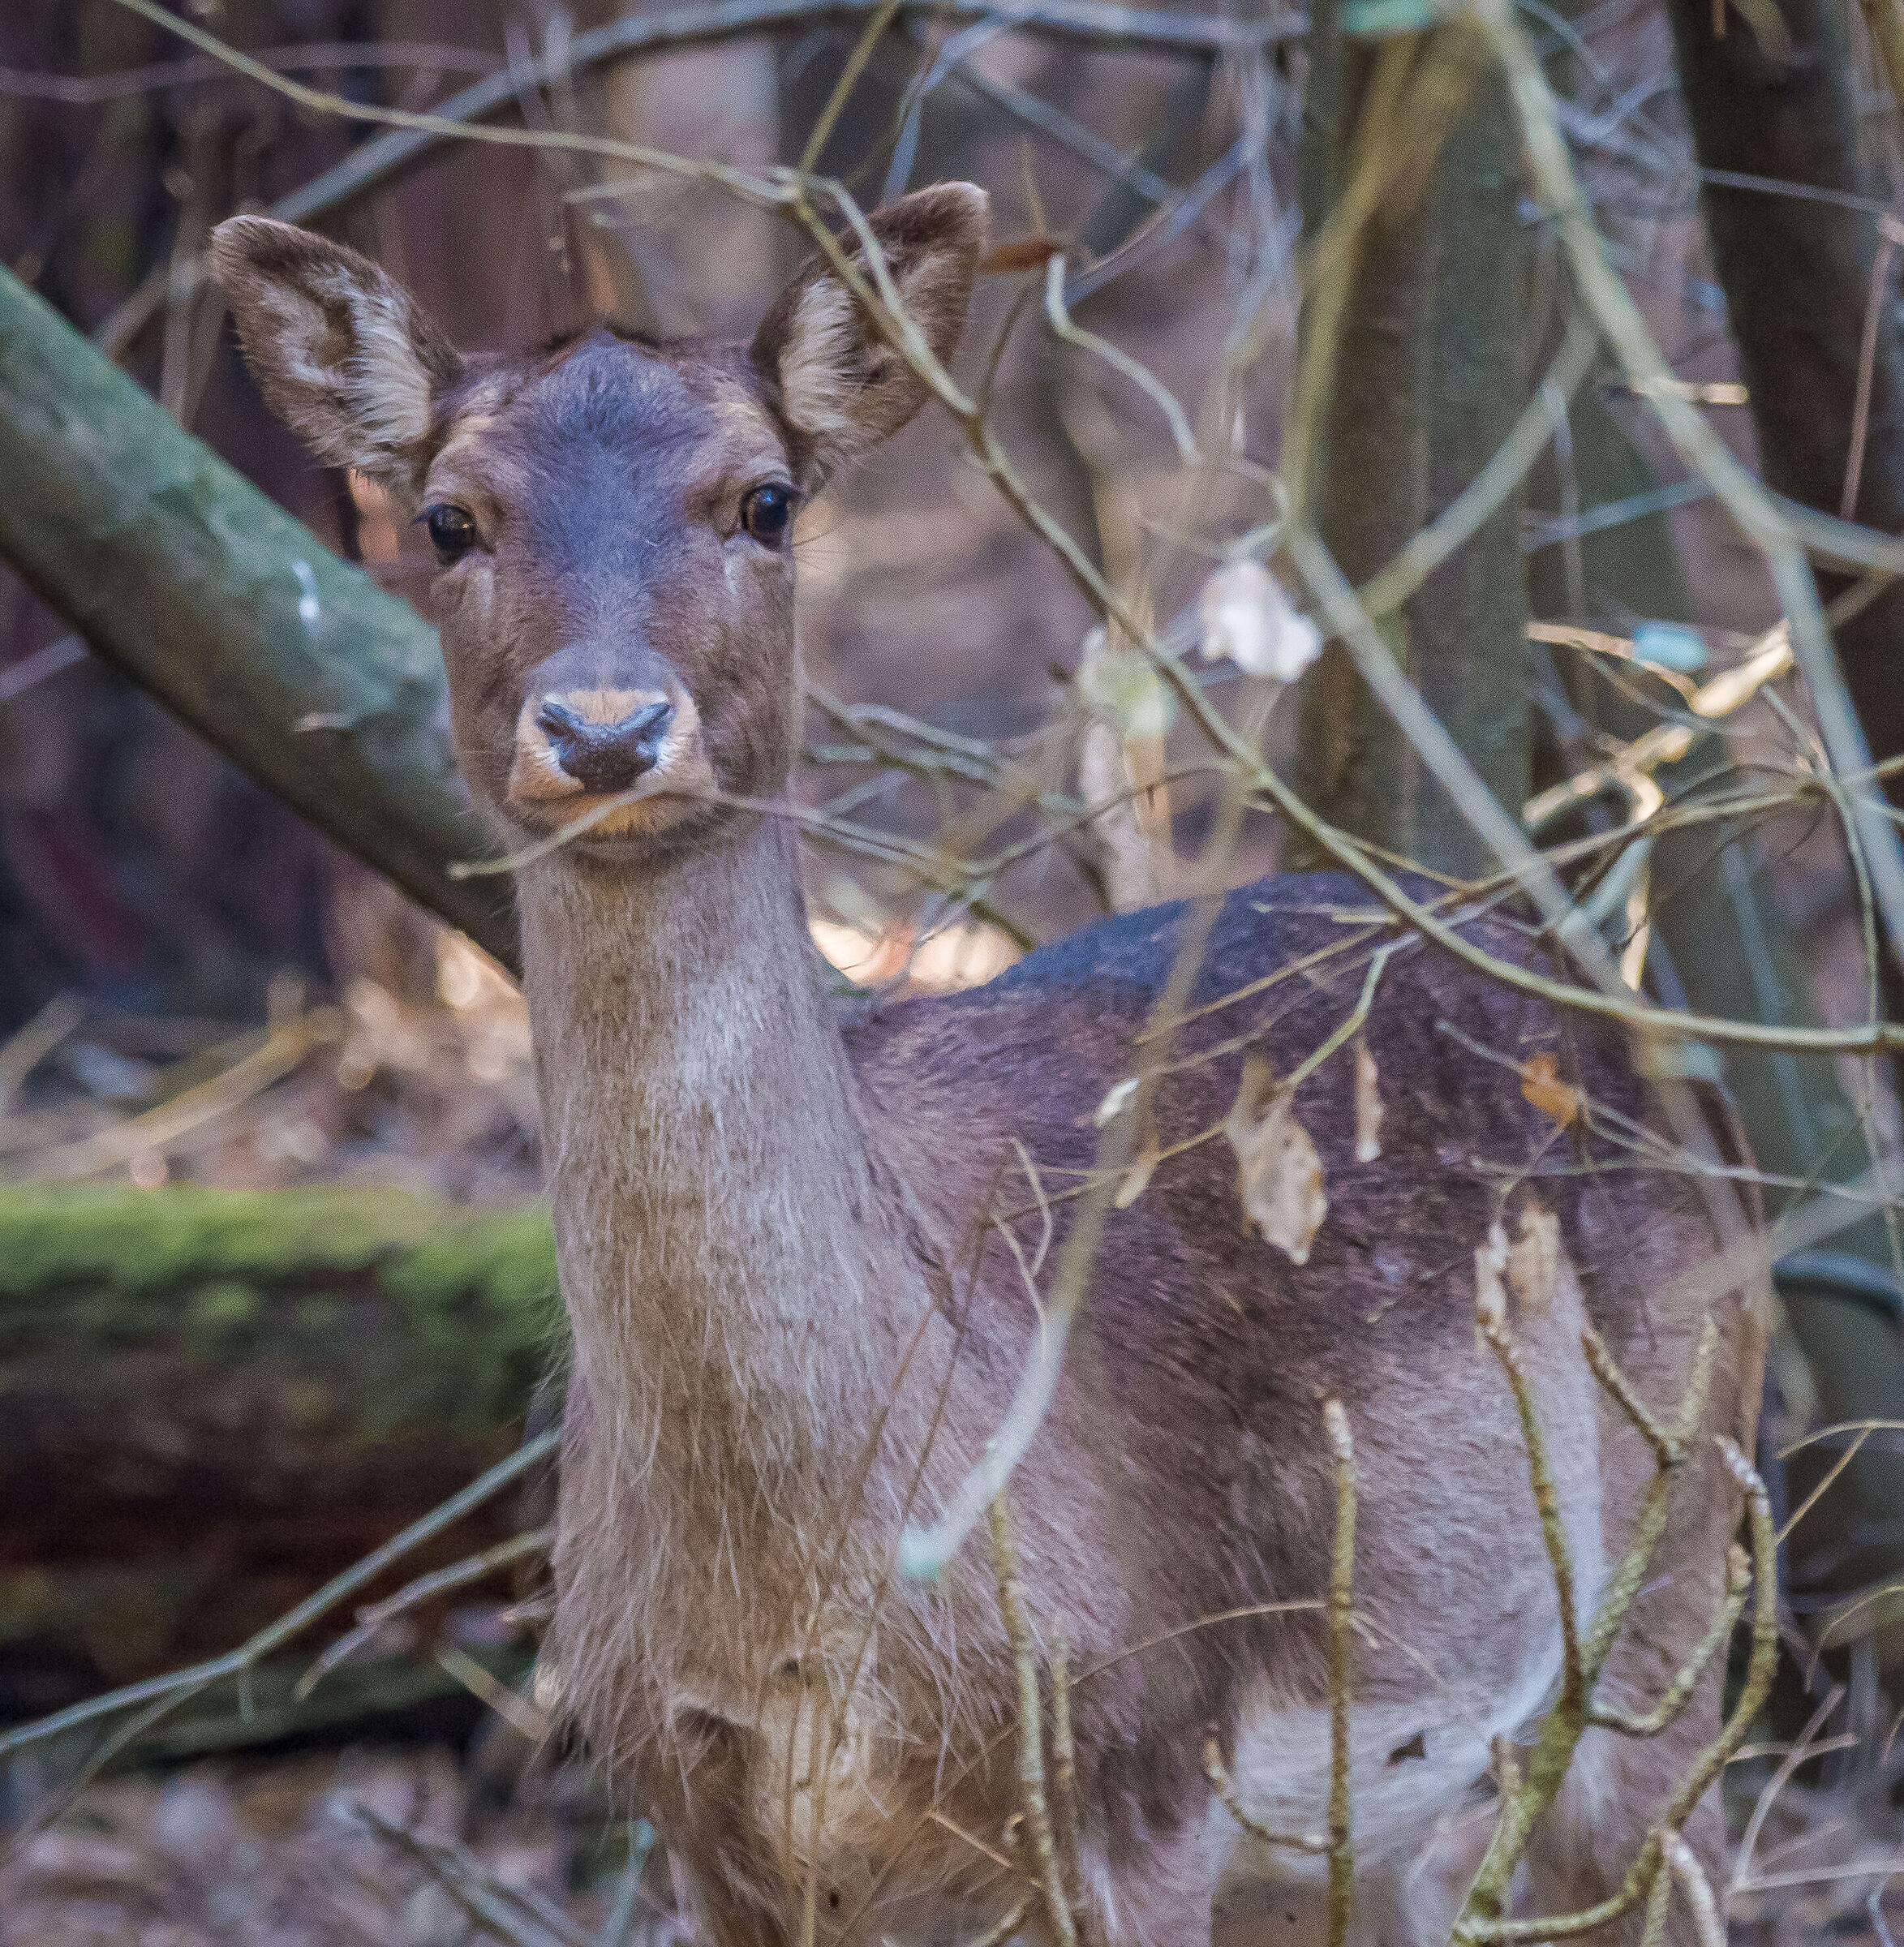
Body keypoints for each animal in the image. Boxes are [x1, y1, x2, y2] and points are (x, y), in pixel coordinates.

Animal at [211, 185, 1764, 1947]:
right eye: (450, 518)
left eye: (763, 498)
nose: (605, 731)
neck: (810, 1618)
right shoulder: (691, 1810)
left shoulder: (1132, 1772)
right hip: (1348, 1831)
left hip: (1671, 1590)